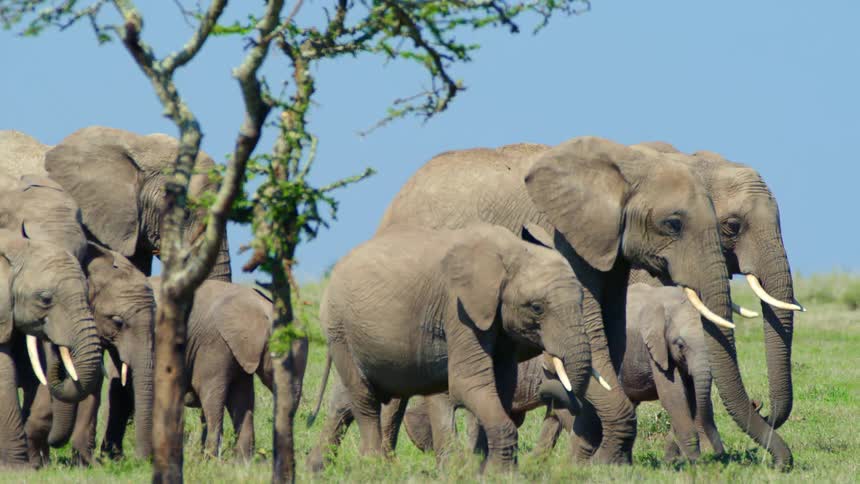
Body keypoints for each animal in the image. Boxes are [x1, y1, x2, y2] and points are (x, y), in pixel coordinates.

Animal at [317, 223, 593, 471]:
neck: (512, 251)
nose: (547, 383)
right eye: (537, 308)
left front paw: (485, 470)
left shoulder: (498, 320)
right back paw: (373, 467)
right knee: (365, 398)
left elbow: (501, 385)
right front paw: (500, 473)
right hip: (339, 330)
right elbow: (468, 383)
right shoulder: (459, 310)